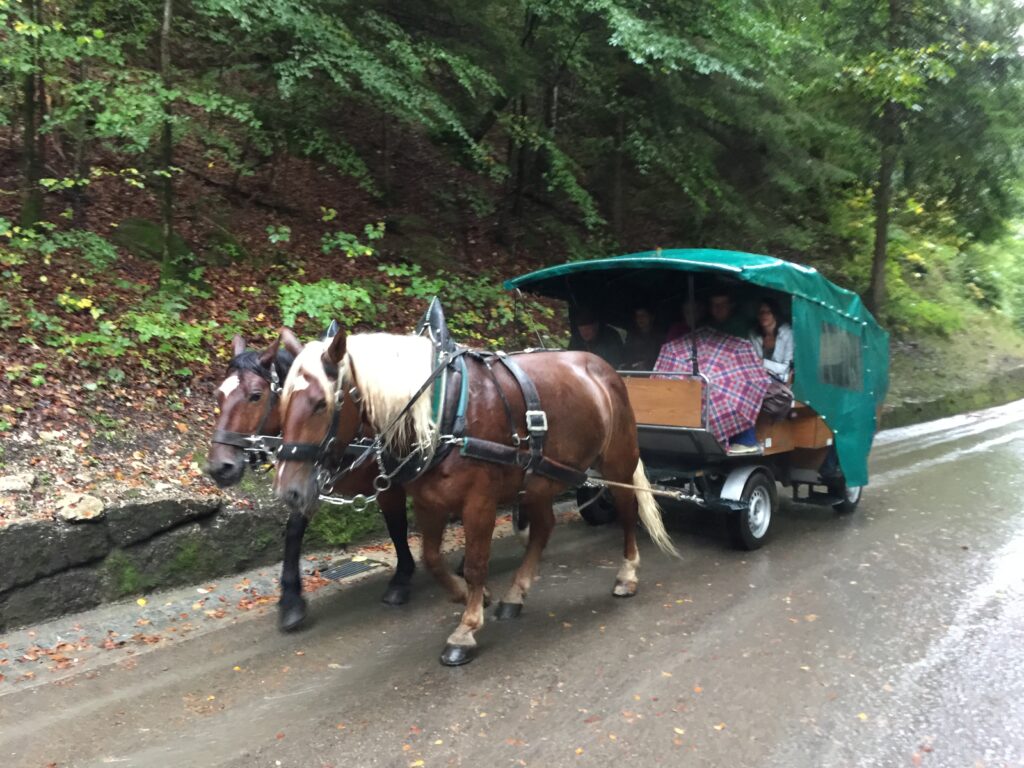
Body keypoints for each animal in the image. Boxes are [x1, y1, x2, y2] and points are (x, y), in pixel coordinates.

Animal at [203, 331, 415, 630]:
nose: (219, 466)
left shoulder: (388, 486)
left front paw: (403, 577)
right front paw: (291, 599)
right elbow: (294, 530)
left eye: (256, 396)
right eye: (218, 396)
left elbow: (397, 525)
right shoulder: (305, 482)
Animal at [274, 331, 679, 667]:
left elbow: (475, 564)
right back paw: (516, 594)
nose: (288, 492)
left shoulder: (479, 502)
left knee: (627, 510)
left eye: (320, 404)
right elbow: (432, 559)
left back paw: (627, 574)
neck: (443, 410)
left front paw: (466, 629)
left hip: (617, 460)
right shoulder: (428, 502)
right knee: (543, 527)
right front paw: (474, 597)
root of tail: (604, 368)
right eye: (281, 402)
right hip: (541, 477)